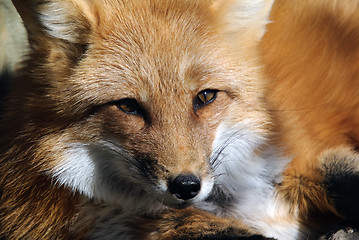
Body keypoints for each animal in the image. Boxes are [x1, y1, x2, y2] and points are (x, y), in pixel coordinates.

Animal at [0, 0, 359, 239]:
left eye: (205, 97)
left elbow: (339, 173)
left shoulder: (292, 156)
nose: (186, 185)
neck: (232, 200)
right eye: (128, 106)